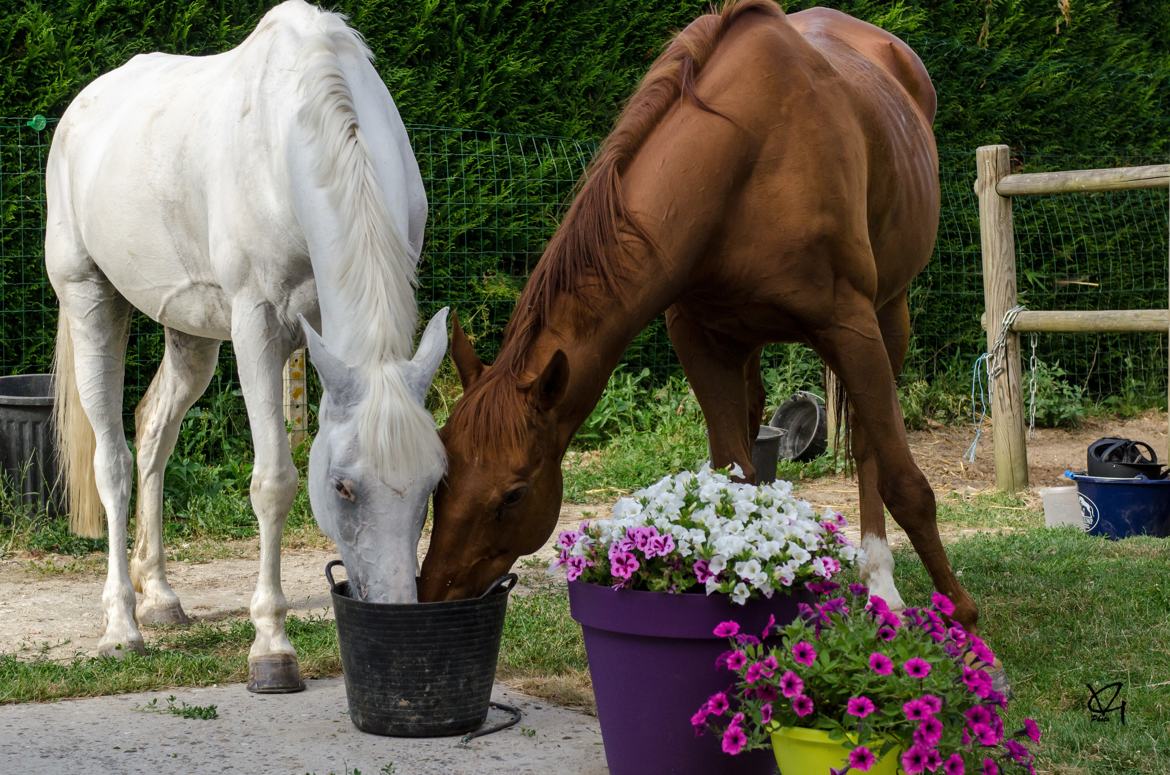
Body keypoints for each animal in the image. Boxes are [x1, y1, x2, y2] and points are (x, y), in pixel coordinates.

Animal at [45, 0, 446, 693]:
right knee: (113, 461)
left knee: (153, 432)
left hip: (191, 334)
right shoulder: (257, 325)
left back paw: (161, 597)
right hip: (91, 300)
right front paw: (272, 647)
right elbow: (274, 481)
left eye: (431, 485)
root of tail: (78, 113)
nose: (396, 611)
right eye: (342, 487)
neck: (291, 137)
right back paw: (122, 626)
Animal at [421, 0, 978, 632]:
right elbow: (734, 477)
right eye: (442, 479)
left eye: (512, 495)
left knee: (869, 451)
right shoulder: (700, 338)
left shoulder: (850, 325)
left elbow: (904, 481)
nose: (434, 596)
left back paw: (882, 584)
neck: (749, 156)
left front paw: (961, 612)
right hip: (750, 340)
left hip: (890, 314)